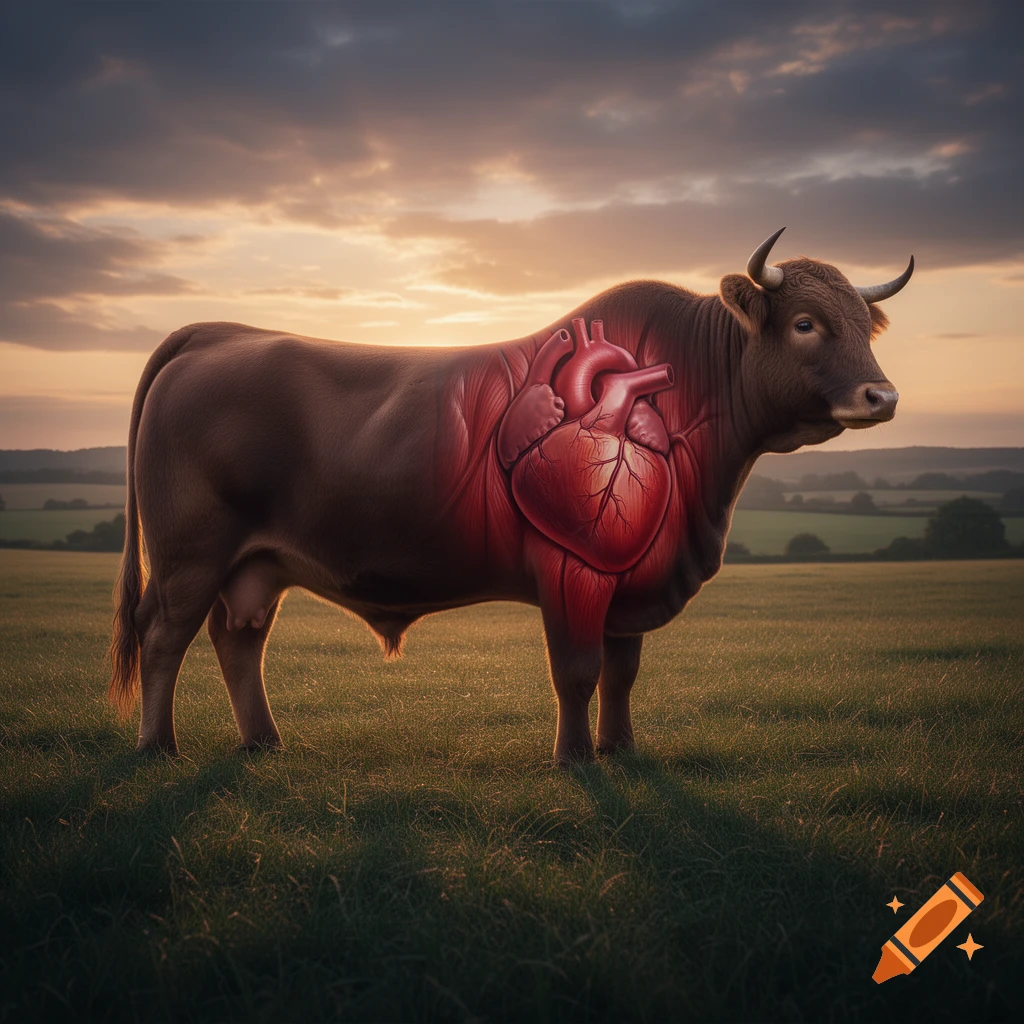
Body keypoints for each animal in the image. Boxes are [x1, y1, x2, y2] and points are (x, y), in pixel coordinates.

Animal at [109, 228, 912, 763]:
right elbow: (578, 671)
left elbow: (622, 672)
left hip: (254, 565)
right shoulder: (571, 574)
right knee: (164, 635)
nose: (884, 397)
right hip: (189, 555)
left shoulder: (631, 582)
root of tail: (219, 332)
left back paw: (264, 743)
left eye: (864, 326)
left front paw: (620, 750)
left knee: (238, 638)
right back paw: (158, 746)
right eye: (806, 323)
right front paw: (576, 760)